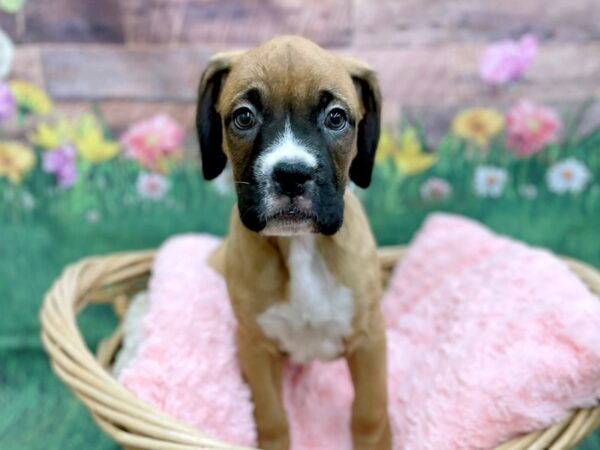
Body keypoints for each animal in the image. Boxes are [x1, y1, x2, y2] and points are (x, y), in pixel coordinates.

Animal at [199, 36, 392, 450]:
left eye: (336, 117)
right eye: (244, 117)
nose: (290, 174)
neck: (301, 246)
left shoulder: (370, 339)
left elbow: (368, 413)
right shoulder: (255, 347)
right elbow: (271, 416)